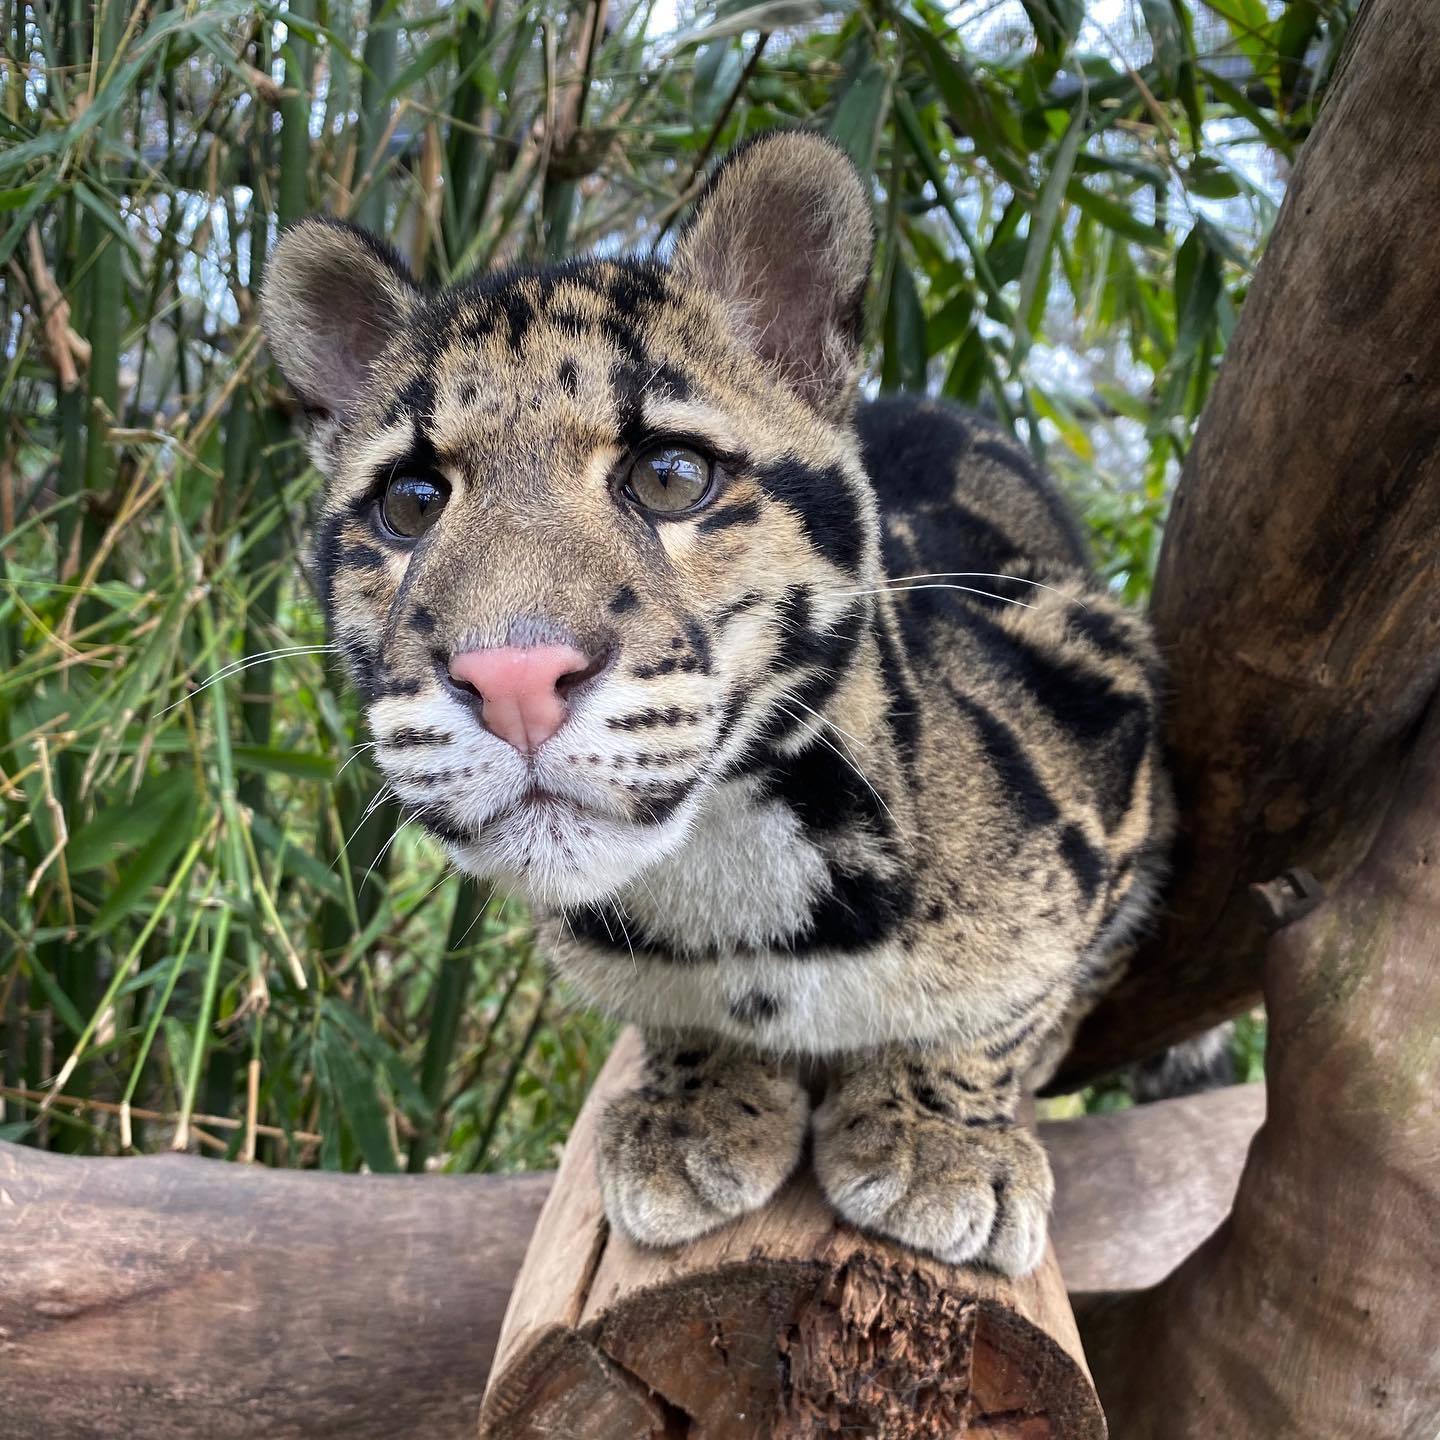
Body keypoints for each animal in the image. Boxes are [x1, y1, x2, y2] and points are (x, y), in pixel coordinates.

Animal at [264, 132, 1169, 1272]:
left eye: (670, 474)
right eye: (411, 501)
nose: (513, 681)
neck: (732, 865)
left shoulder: (1105, 697)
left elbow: (1014, 1005)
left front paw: (940, 1132)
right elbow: (669, 1015)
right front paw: (699, 1097)